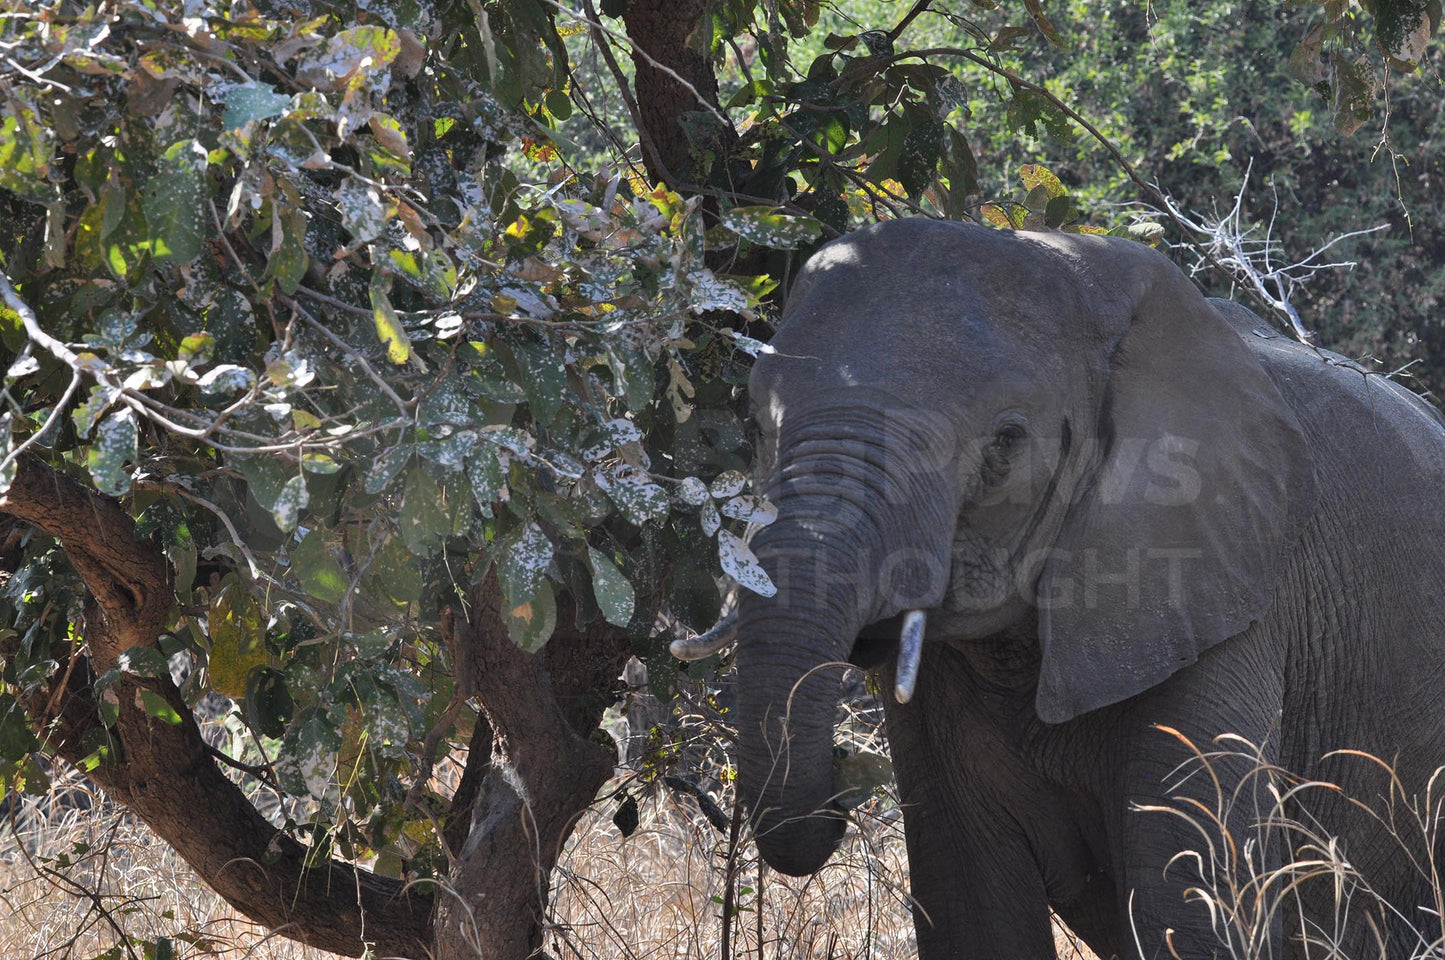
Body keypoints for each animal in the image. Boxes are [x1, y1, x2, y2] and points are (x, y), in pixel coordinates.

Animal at [670, 219, 1445, 960]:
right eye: (751, 423)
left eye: (1005, 445)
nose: (842, 776)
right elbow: (973, 912)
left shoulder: (1229, 593)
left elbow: (1190, 907)